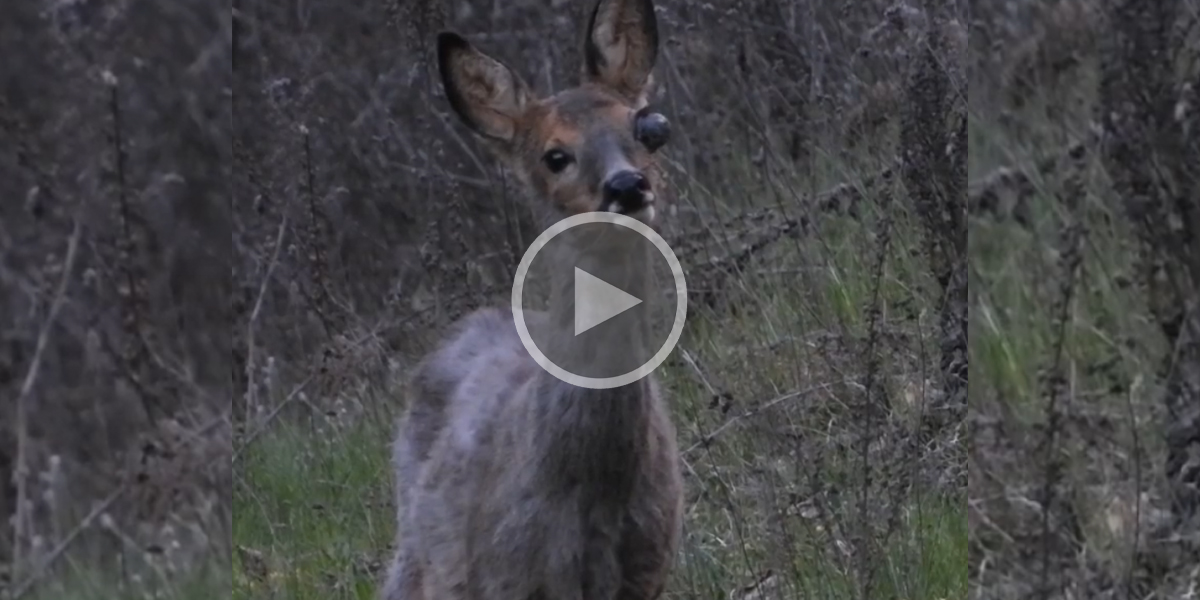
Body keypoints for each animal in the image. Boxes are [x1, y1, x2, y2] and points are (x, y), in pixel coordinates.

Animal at [384, 1, 686, 600]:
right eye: (554, 155)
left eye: (648, 127)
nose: (627, 186)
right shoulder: (501, 579)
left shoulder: (647, 572)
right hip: (416, 559)